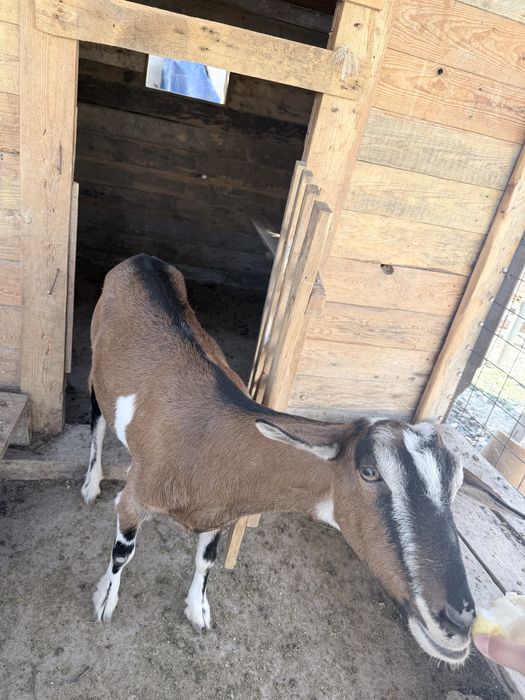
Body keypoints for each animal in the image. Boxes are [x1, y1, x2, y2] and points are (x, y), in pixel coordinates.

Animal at [82, 254, 524, 665]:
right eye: (369, 472)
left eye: (455, 489)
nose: (458, 621)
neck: (209, 443)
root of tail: (142, 260)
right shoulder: (135, 498)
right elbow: (123, 552)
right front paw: (104, 600)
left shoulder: (218, 515)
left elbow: (205, 560)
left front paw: (198, 611)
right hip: (95, 368)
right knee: (97, 418)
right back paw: (90, 484)